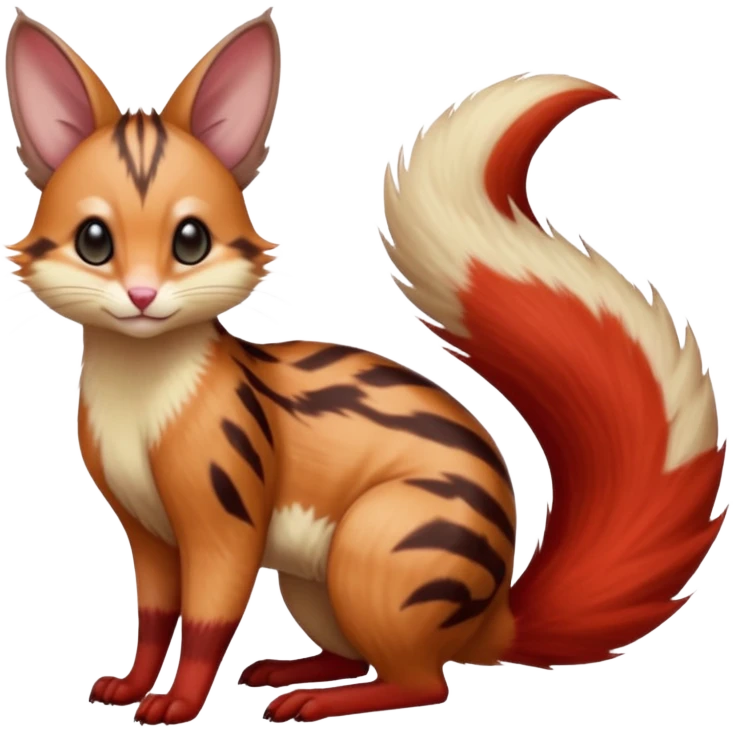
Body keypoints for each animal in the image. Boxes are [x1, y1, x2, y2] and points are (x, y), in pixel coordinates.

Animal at [4, 7, 726, 727]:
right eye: (93, 240)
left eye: (191, 240)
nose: (142, 296)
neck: (139, 392)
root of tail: (492, 617)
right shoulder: (146, 530)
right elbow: (154, 616)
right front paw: (131, 685)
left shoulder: (223, 516)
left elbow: (208, 619)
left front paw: (178, 702)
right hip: (314, 583)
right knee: (358, 655)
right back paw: (291, 669)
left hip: (375, 549)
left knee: (423, 683)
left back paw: (321, 698)